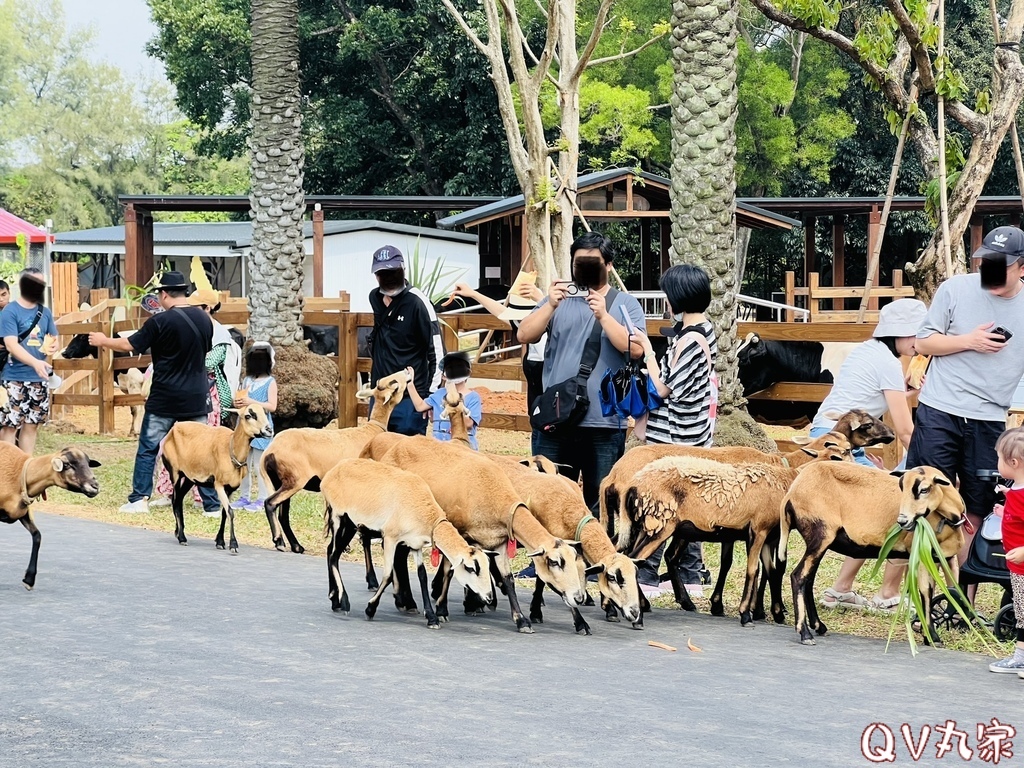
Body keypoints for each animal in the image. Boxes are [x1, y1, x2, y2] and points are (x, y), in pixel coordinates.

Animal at [0, 444, 99, 589]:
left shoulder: (22, 513)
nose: (95, 487)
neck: (22, 475)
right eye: (67, 464)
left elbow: (37, 536)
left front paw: (29, 580)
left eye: (88, 463)